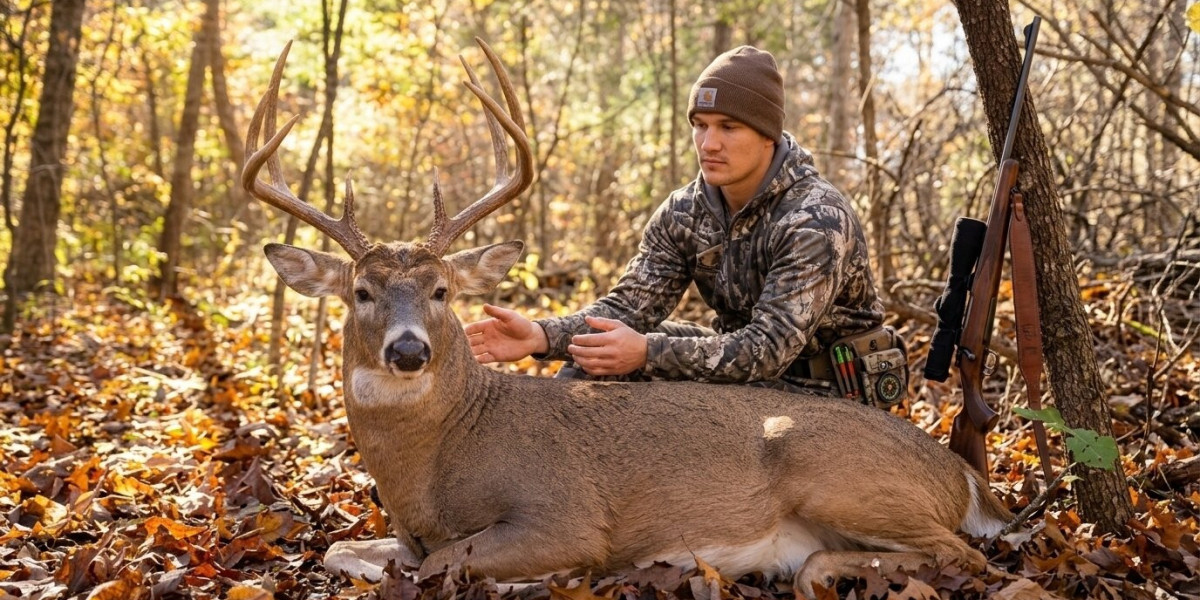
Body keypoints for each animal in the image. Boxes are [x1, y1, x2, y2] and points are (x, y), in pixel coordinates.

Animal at [243, 39, 1012, 599]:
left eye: (440, 290)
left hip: (840, 477)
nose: (408, 352)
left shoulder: (564, 513)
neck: (434, 467)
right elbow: (346, 548)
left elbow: (442, 565)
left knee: (970, 559)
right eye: (362, 293)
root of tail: (962, 476)